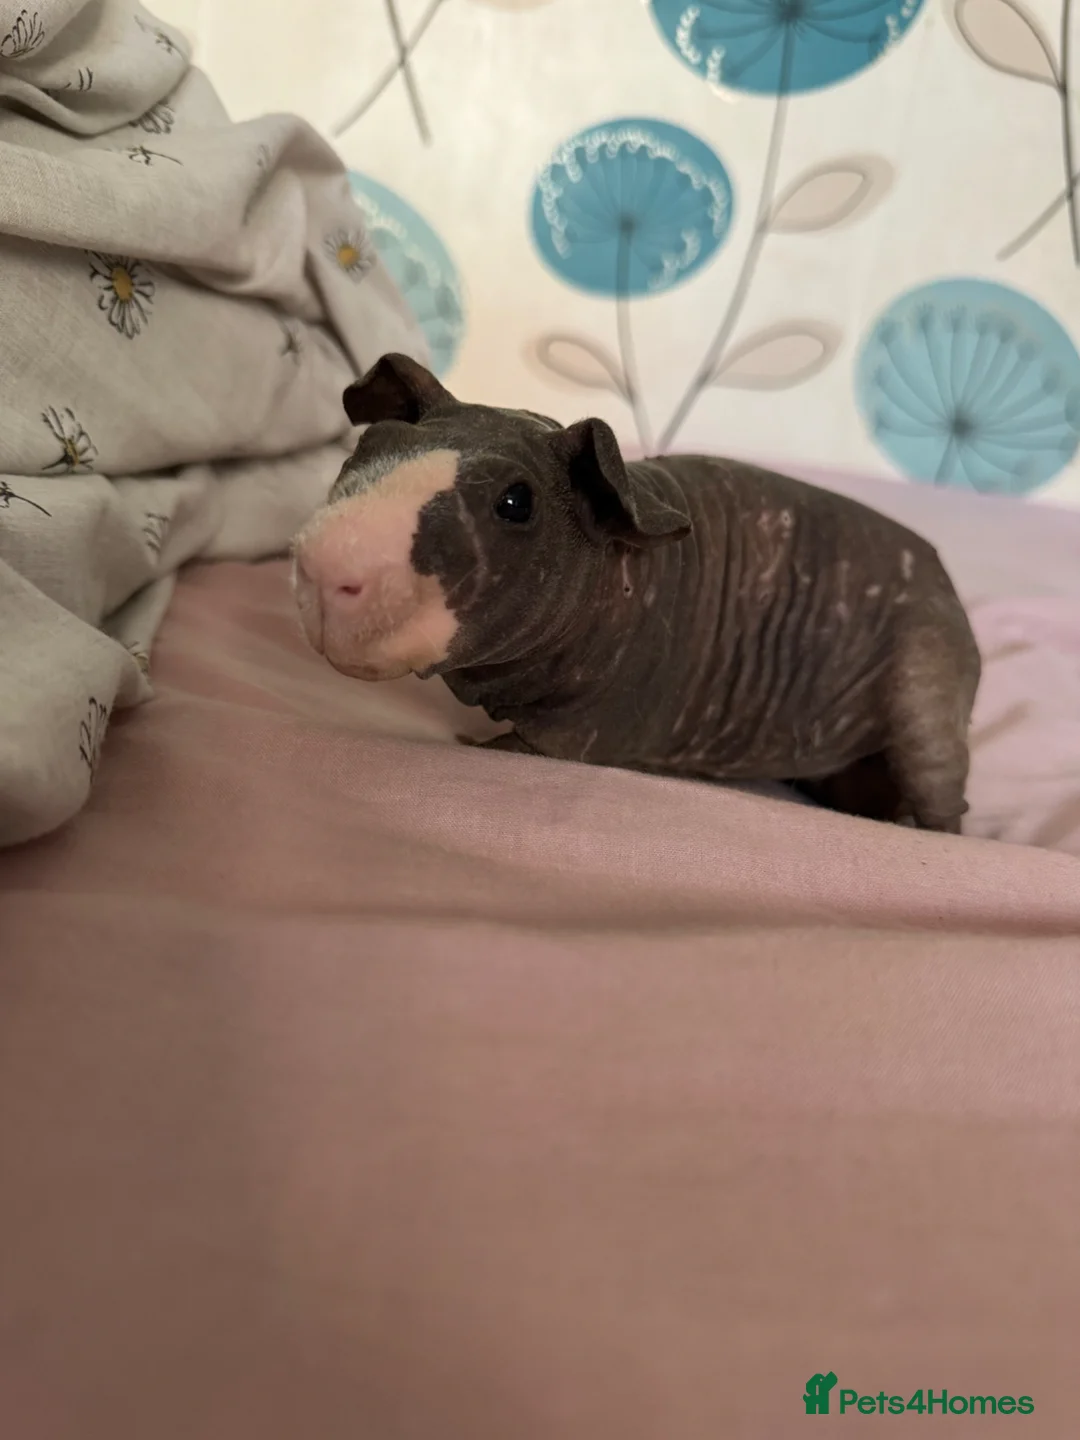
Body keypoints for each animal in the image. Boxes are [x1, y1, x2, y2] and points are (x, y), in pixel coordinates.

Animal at [292, 353, 981, 832]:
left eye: (515, 503)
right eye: (368, 444)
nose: (326, 567)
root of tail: (945, 578)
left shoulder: (588, 729)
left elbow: (515, 751)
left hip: (927, 674)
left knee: (939, 786)